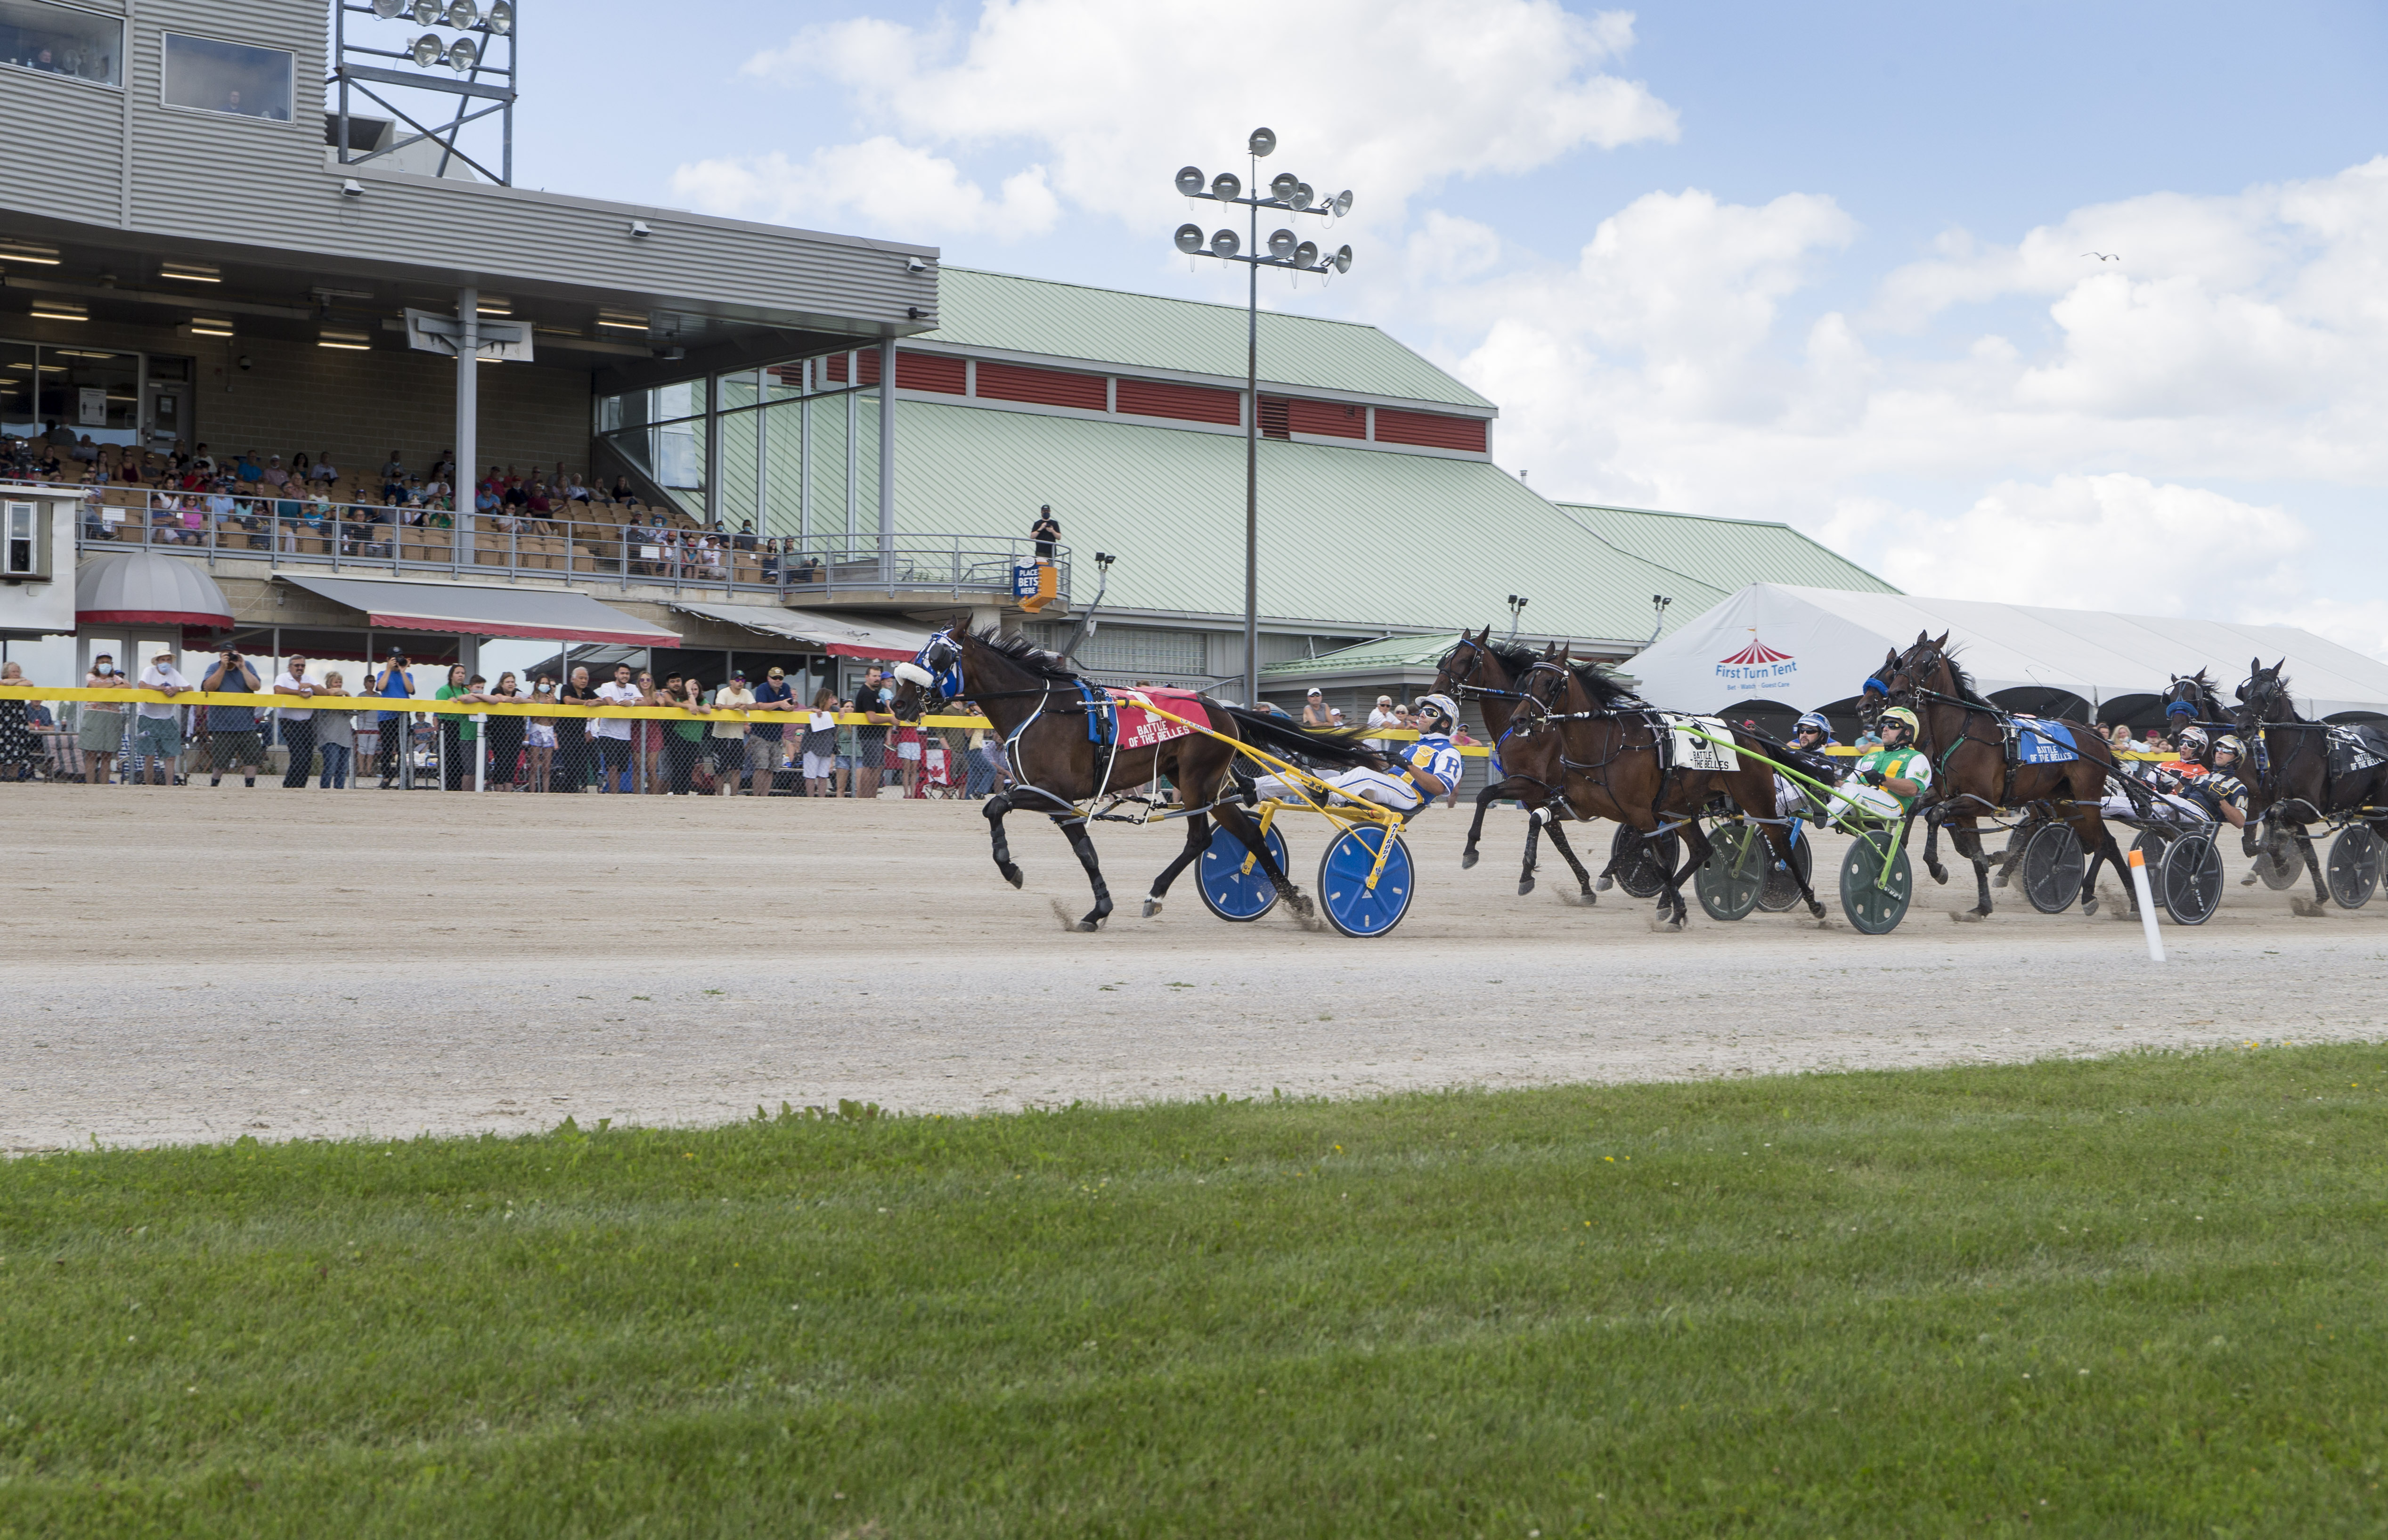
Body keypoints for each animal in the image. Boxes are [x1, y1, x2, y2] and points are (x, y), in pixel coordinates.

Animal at [893, 620, 1385, 926]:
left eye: (939, 656)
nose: (897, 703)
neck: (1038, 706)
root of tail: (1221, 709)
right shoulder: (1059, 803)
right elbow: (1085, 852)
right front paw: (1098, 909)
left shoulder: (1047, 791)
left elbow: (994, 804)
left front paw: (1011, 868)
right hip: (1202, 786)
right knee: (1233, 835)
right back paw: (1282, 899)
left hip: (1197, 782)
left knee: (1213, 839)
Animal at [1423, 625, 1595, 902]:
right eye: (1447, 658)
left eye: (1466, 660)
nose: (1434, 694)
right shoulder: (1536, 798)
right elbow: (1558, 838)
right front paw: (1585, 885)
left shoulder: (1529, 785)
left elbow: (1485, 794)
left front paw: (1471, 850)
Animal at [1500, 649, 1815, 926]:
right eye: (1527, 681)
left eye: (1550, 683)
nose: (1519, 720)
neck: (1607, 743)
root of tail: (1748, 734)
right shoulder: (1579, 804)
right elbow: (1538, 818)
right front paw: (1527, 874)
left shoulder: (1640, 814)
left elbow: (1660, 863)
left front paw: (1679, 910)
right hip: (1679, 810)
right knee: (1701, 851)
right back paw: (1667, 901)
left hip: (1757, 800)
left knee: (1782, 846)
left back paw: (1813, 903)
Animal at [1872, 635, 2139, 917]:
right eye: (1903, 661)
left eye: (1927, 661)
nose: (1895, 694)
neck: (1962, 733)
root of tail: (2095, 735)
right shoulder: (1948, 796)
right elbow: (1930, 819)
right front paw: (1981, 906)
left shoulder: (1979, 802)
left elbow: (1936, 816)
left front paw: (1937, 867)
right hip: (2063, 801)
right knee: (2107, 842)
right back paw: (2134, 902)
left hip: (2085, 799)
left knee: (2102, 844)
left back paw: (2088, 895)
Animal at [2225, 659, 2388, 902]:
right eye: (2244, 691)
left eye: (2268, 692)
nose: (2242, 727)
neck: (2293, 752)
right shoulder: (2293, 812)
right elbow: (2307, 852)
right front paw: (2318, 895)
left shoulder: (2311, 810)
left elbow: (2274, 812)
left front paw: (2280, 859)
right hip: (2376, 813)